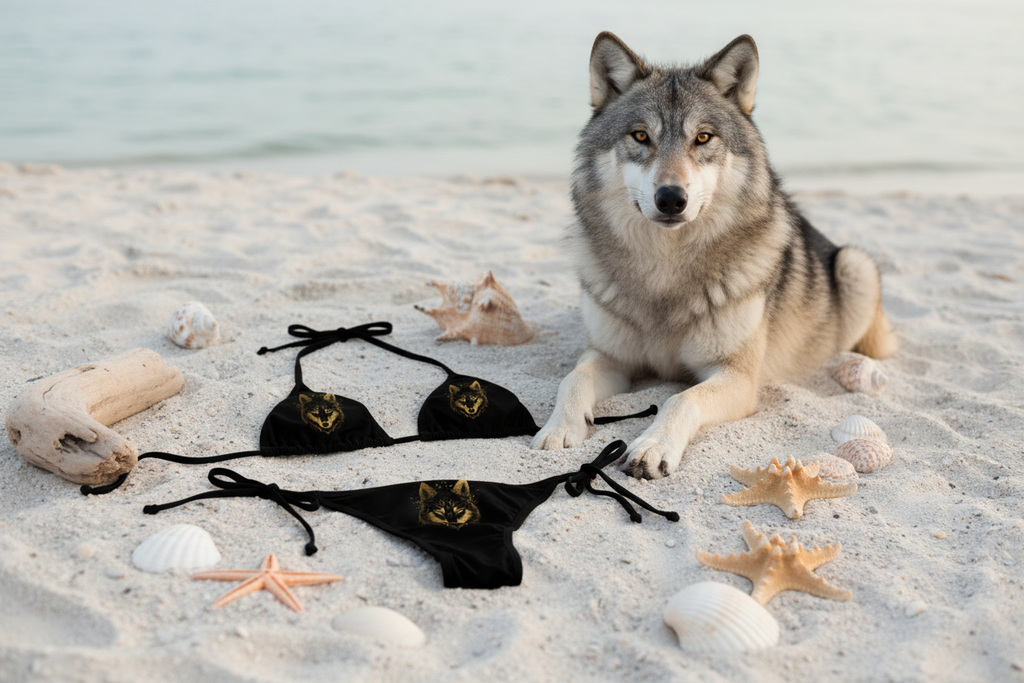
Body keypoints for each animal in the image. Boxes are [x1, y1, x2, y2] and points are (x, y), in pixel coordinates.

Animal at [531, 32, 897, 478]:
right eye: (641, 136)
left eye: (703, 138)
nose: (671, 198)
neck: (665, 271)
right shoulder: (610, 357)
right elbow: (573, 379)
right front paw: (559, 428)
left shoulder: (736, 375)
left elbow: (680, 398)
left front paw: (653, 447)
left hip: (855, 266)